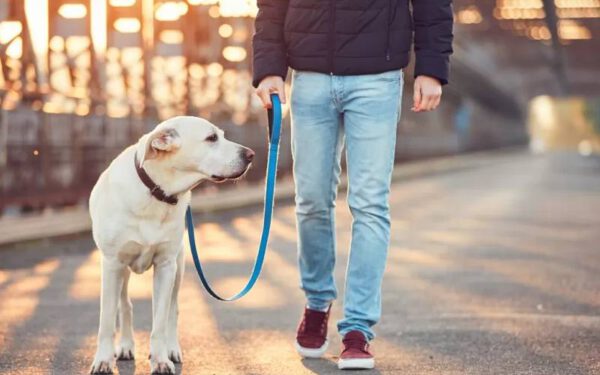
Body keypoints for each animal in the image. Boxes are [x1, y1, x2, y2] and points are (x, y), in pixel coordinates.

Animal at [88, 116, 253, 374]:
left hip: (178, 267)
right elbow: (106, 321)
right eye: (211, 138)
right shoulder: (112, 264)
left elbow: (160, 322)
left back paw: (171, 349)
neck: (157, 192)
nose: (251, 155)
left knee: (172, 311)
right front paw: (103, 360)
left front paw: (160, 360)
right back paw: (126, 345)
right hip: (122, 271)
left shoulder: (166, 266)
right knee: (125, 305)